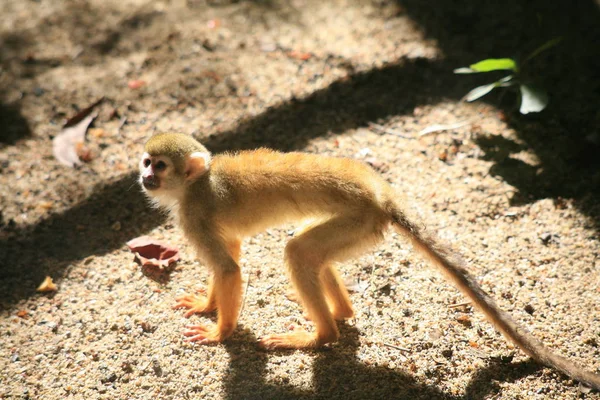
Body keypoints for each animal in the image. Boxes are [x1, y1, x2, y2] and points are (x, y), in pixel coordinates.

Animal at [139, 133, 600, 390]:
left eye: (159, 166)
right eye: (146, 161)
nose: (144, 177)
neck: (195, 185)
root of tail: (380, 190)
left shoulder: (194, 215)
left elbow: (229, 268)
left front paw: (220, 332)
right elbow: (229, 255)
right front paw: (207, 304)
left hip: (360, 218)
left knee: (298, 252)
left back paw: (321, 335)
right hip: (362, 227)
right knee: (311, 252)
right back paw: (341, 313)